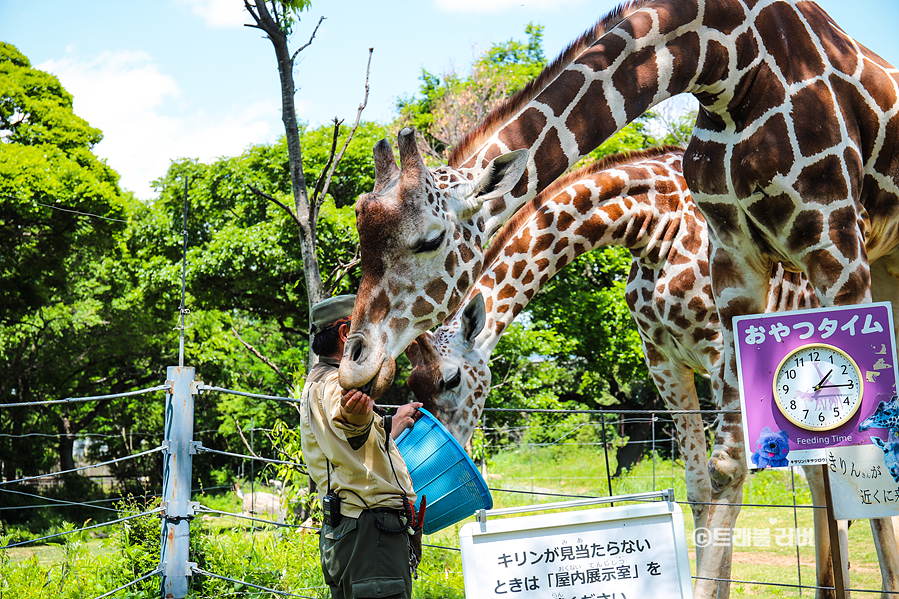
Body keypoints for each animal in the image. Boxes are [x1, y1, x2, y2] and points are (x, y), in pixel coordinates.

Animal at [402, 148, 864, 596]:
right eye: (412, 386)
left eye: (451, 379)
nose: (440, 449)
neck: (654, 225)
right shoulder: (664, 360)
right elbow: (698, 488)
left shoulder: (719, 351)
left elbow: (729, 476)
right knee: (821, 473)